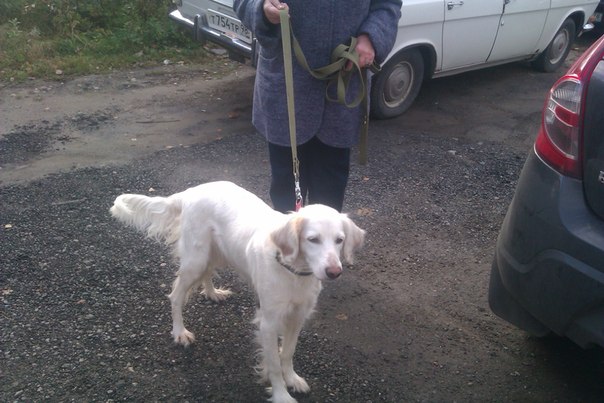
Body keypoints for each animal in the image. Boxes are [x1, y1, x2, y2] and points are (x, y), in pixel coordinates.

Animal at [110, 181, 365, 403]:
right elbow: (274, 364)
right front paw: (281, 395)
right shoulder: (268, 322)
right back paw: (180, 332)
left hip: (216, 252)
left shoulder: (298, 315)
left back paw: (213, 293)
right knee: (176, 296)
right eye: (313, 239)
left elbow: (287, 352)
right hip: (196, 260)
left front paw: (292, 379)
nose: (334, 272)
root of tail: (191, 192)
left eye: (339, 240)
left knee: (206, 275)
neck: (292, 271)